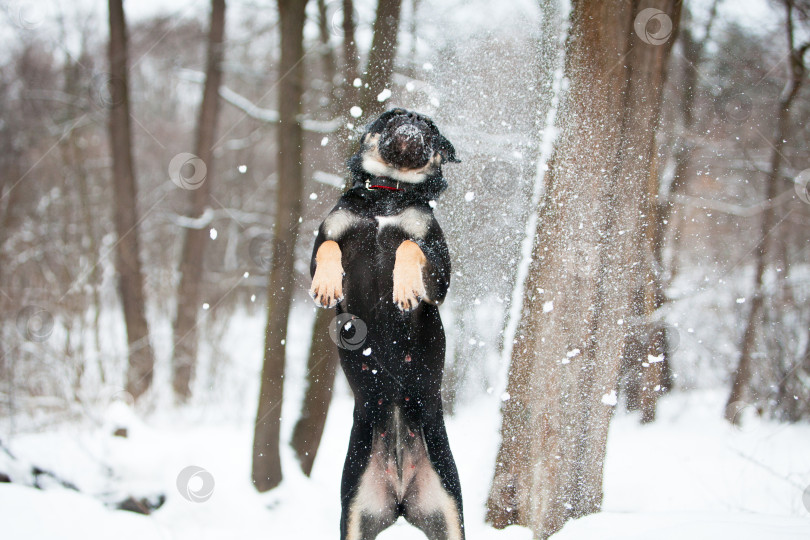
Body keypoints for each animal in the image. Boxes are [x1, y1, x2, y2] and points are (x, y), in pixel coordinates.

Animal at [308, 109, 460, 540]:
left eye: (431, 128)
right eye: (393, 117)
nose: (412, 123)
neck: (387, 193)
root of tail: (401, 498)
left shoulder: (440, 273)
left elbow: (409, 246)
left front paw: (405, 286)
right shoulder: (325, 238)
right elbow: (328, 248)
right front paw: (327, 284)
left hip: (449, 510)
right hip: (355, 513)